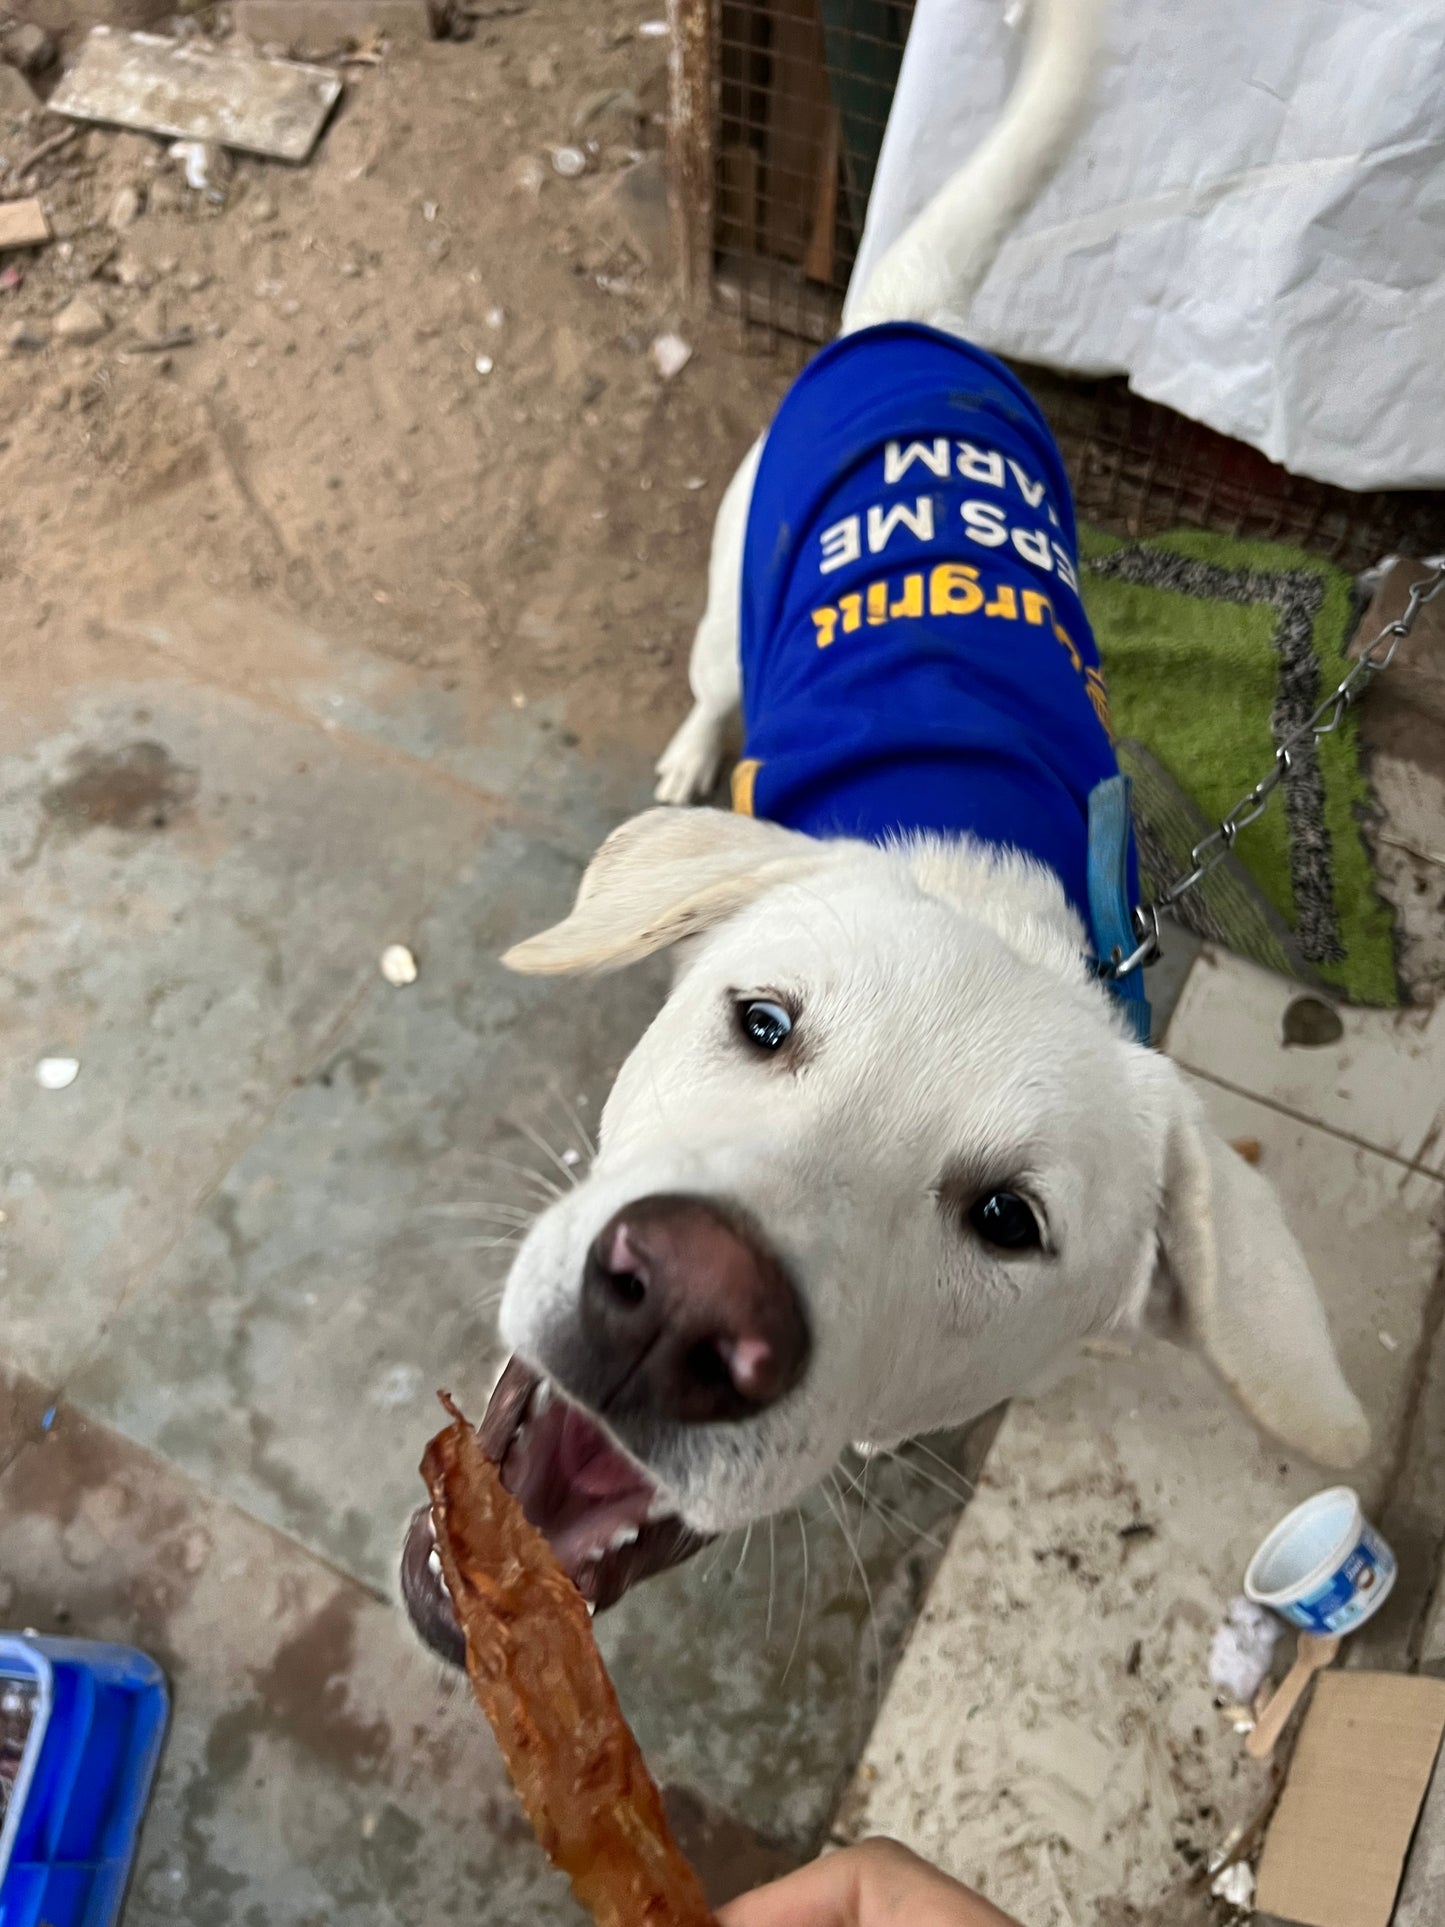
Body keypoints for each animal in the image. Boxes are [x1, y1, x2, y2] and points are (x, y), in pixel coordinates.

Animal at [398, 0, 1371, 1657]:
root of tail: (922, 322)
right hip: (727, 588)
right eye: (761, 1020)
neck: (993, 895)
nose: (686, 1303)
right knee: (711, 679)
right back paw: (685, 751)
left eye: (1007, 1218)